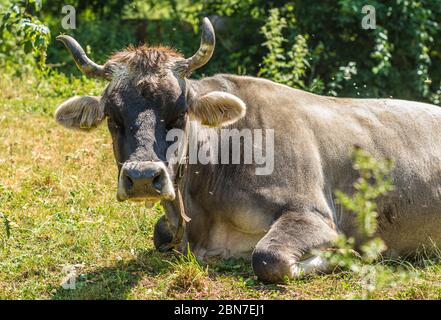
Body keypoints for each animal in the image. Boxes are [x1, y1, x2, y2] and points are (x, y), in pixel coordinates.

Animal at [54, 18, 441, 282]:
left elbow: (267, 258)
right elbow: (159, 234)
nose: (144, 177)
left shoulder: (312, 214)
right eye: (112, 117)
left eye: (179, 113)